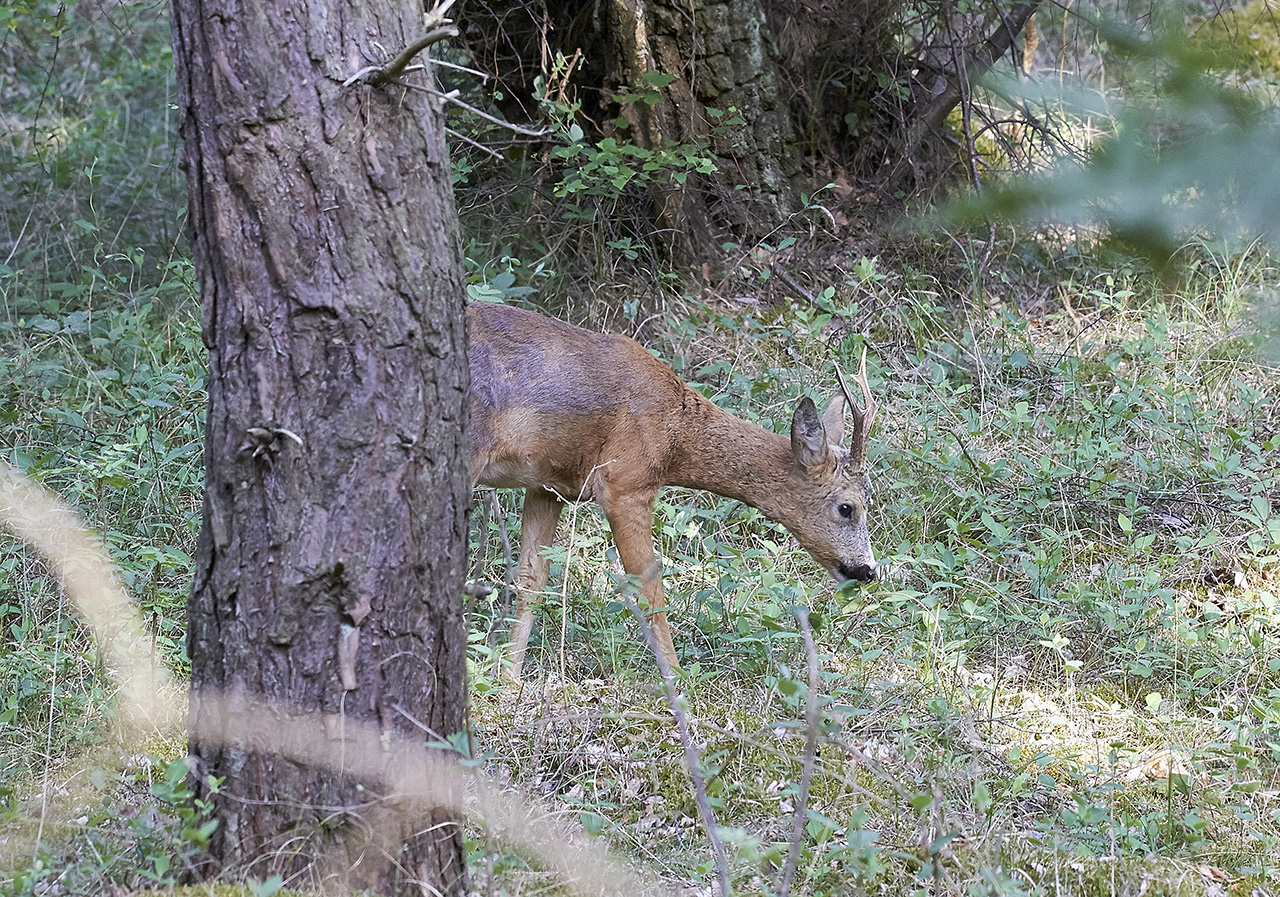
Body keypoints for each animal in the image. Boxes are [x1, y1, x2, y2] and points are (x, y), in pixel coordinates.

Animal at [471, 300, 880, 680]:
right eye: (847, 507)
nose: (868, 570)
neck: (674, 437)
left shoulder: (547, 484)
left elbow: (531, 578)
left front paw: (509, 679)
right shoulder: (626, 482)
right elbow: (651, 590)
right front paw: (678, 681)